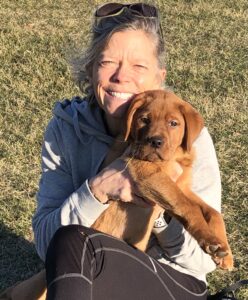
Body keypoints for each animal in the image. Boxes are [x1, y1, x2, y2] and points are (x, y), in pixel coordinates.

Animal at [92, 89, 233, 270]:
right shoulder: (147, 171)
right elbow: (189, 207)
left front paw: (226, 253)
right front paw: (211, 241)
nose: (155, 142)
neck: (175, 156)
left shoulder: (182, 186)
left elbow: (213, 212)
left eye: (173, 123)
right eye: (144, 119)